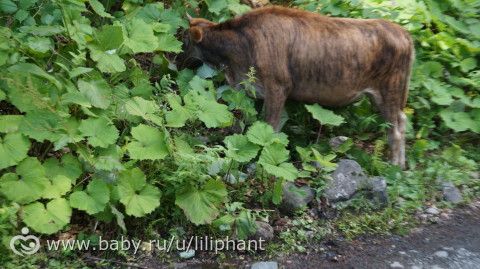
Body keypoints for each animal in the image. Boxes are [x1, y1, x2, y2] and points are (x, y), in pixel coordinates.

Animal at [182, 5, 414, 168]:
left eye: (185, 40)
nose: (176, 58)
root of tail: (403, 32)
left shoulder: (277, 87)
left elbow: (270, 127)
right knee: (401, 122)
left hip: (390, 91)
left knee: (396, 130)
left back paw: (394, 165)